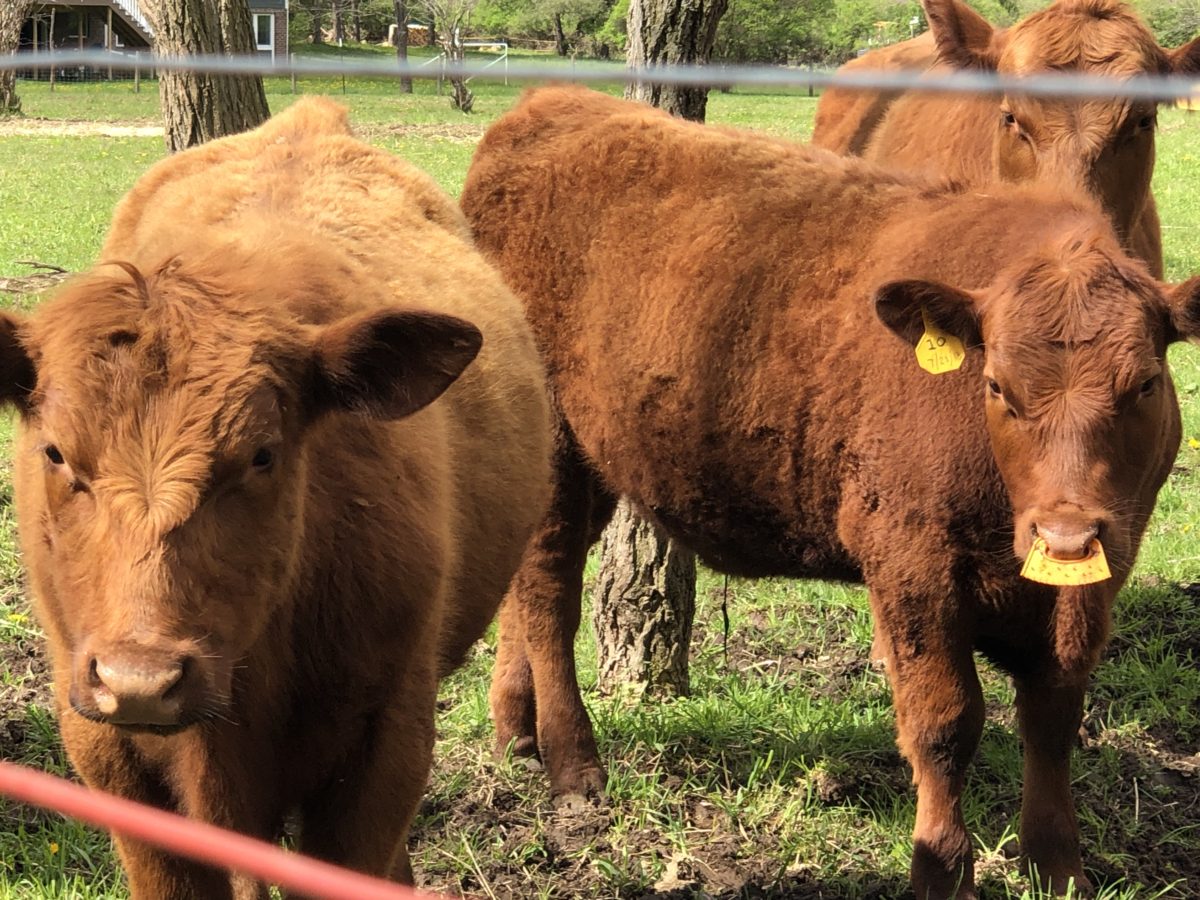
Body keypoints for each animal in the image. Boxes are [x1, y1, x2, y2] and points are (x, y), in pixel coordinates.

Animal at [460, 86, 1200, 899]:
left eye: (1145, 384)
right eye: (997, 387)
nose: (1065, 536)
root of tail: (548, 105)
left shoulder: (1096, 582)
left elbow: (1054, 713)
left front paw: (1059, 866)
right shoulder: (911, 563)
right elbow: (946, 721)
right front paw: (941, 868)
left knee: (525, 586)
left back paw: (515, 731)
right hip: (558, 450)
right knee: (549, 590)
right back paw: (574, 764)